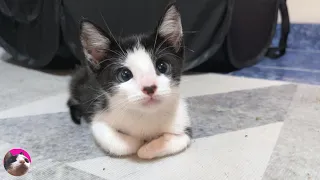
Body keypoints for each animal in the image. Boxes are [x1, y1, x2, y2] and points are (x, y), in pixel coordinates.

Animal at [67, 3, 191, 159]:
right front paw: (139, 143)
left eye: (162, 66)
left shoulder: (184, 123)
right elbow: (123, 145)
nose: (149, 87)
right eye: (125, 75)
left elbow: (181, 139)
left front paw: (148, 148)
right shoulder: (99, 118)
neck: (146, 115)